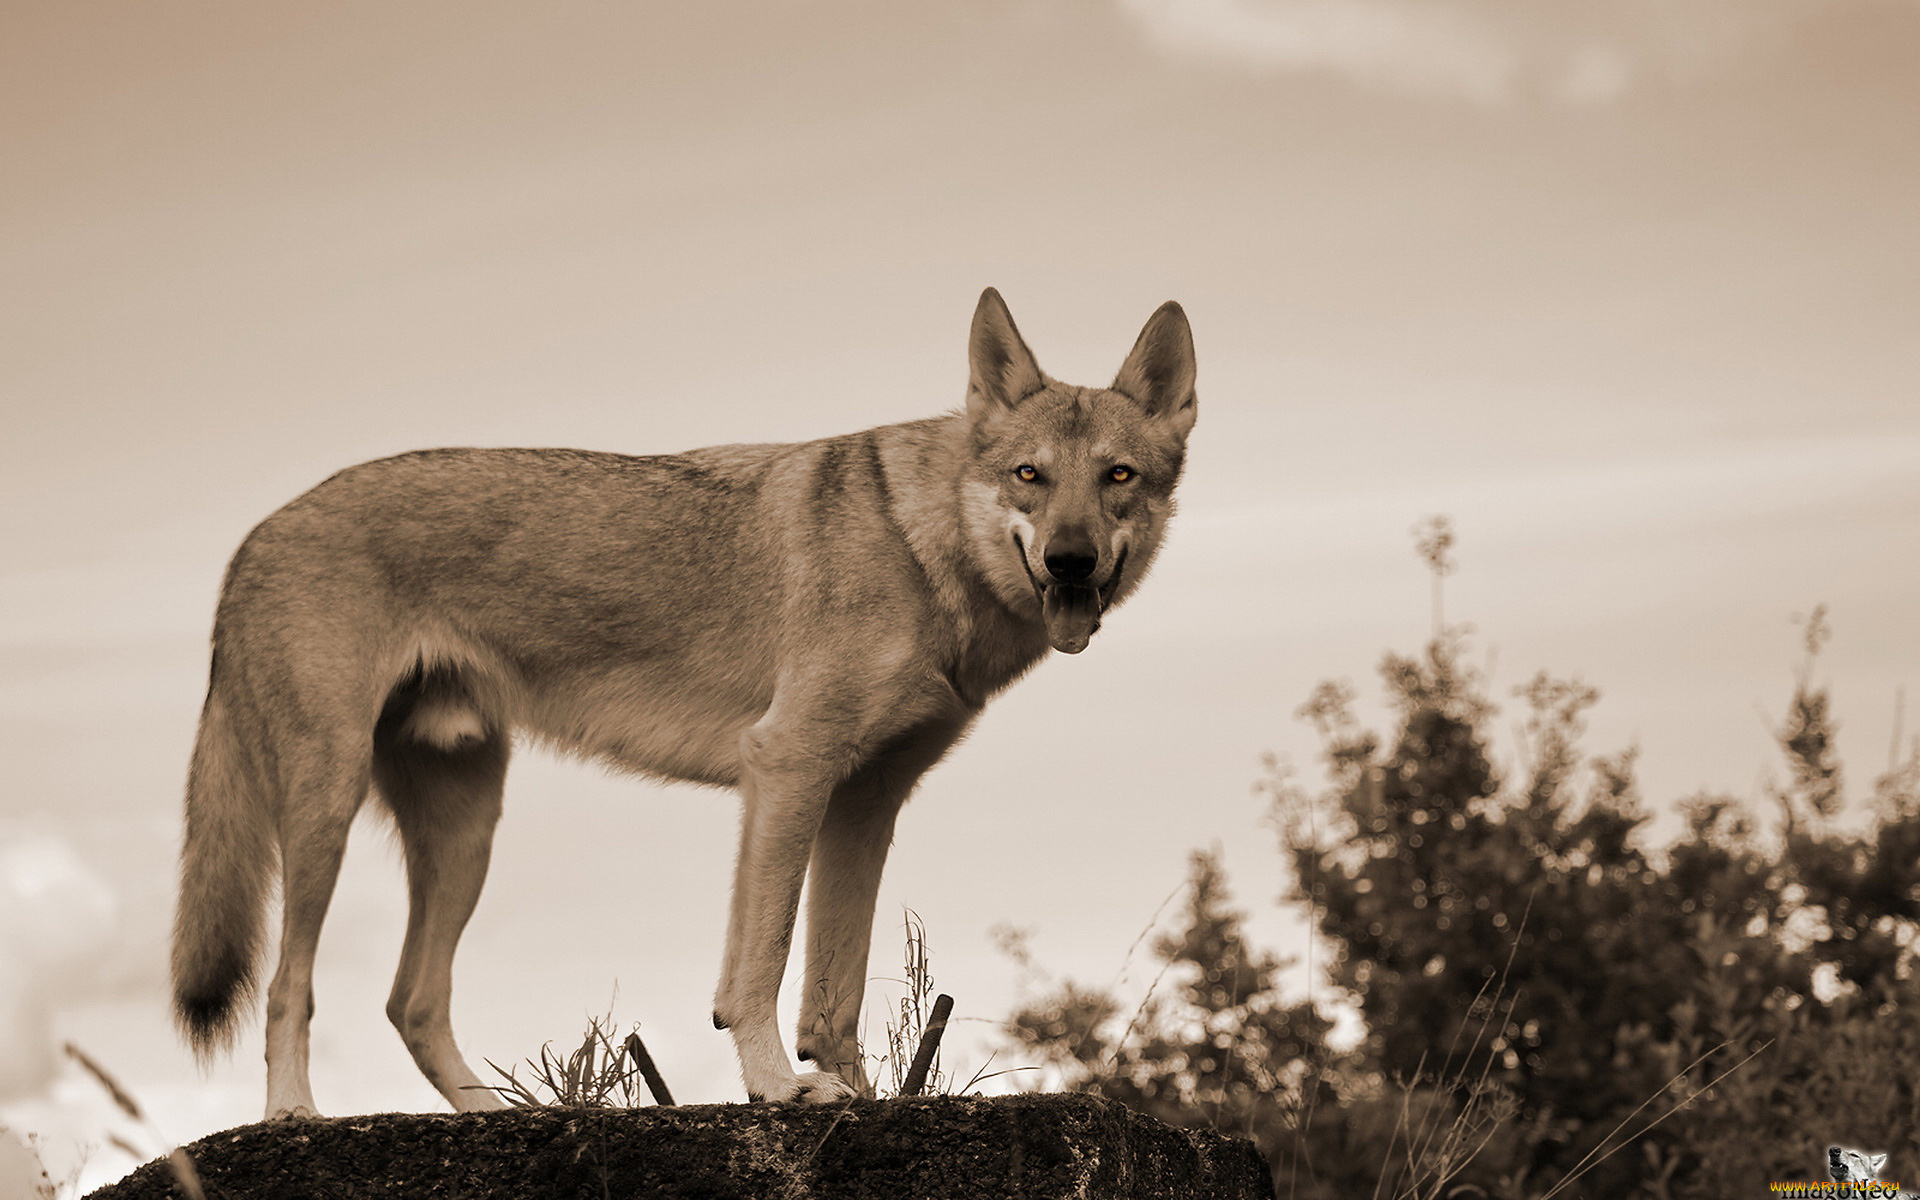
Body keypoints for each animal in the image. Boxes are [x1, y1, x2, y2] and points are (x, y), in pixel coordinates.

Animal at [176, 288, 1198, 1113]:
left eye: (1119, 478)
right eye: (1031, 475)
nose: (1070, 561)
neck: (921, 544)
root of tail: (249, 540)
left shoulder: (864, 803)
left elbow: (833, 988)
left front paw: (855, 1096)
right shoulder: (787, 768)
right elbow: (761, 964)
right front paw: (777, 1087)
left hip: (465, 833)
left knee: (410, 1002)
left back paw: (500, 1118)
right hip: (328, 812)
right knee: (289, 986)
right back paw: (294, 1115)